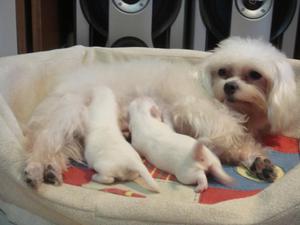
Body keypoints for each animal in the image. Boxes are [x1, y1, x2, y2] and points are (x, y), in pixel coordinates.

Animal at [24, 37, 298, 188]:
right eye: (223, 71)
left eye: (255, 75)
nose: (229, 86)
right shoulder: (199, 108)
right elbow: (230, 132)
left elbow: (245, 144)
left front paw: (259, 162)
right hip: (66, 117)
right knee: (42, 144)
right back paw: (37, 168)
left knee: (58, 151)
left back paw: (51, 170)